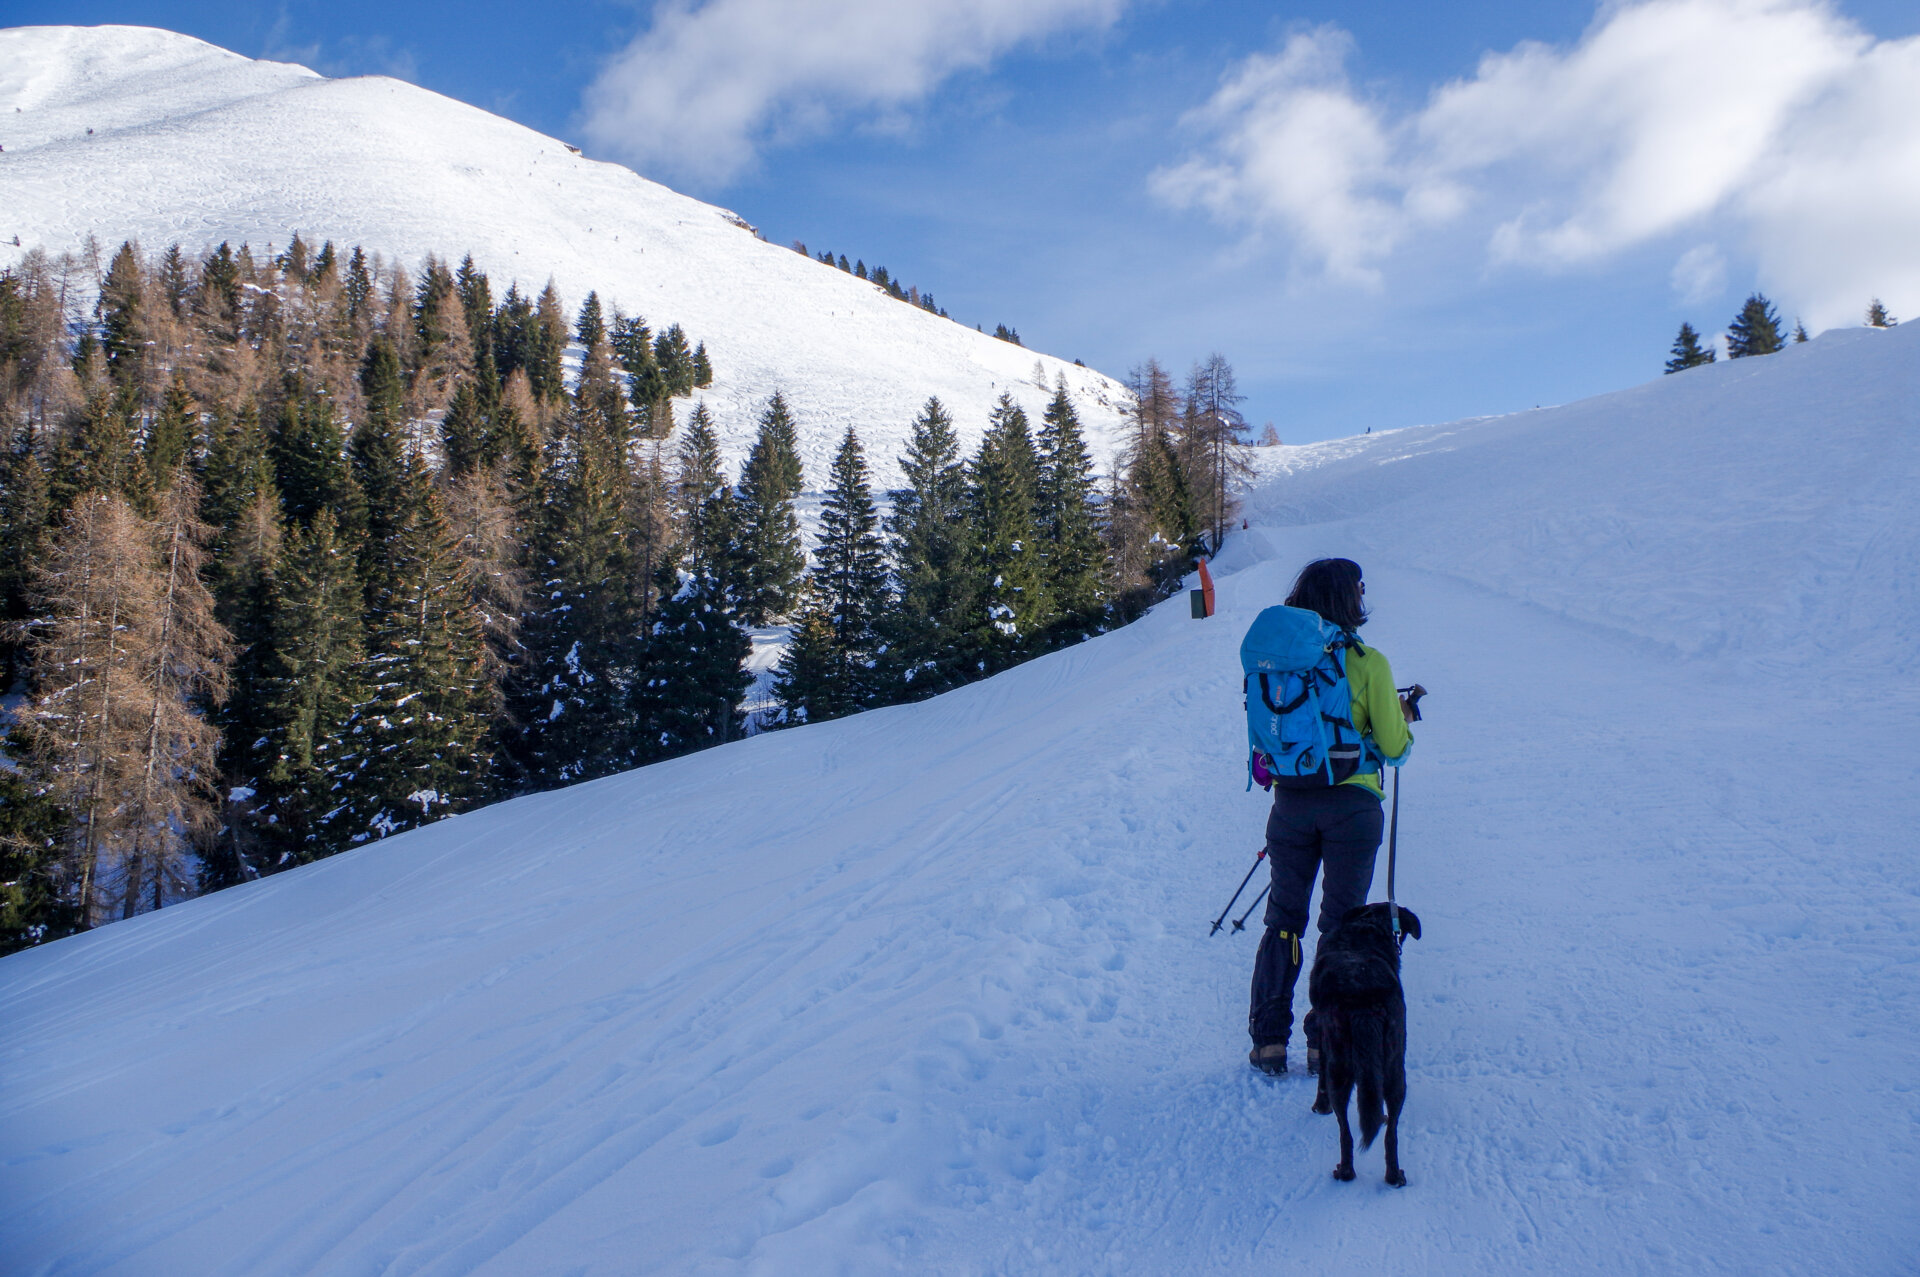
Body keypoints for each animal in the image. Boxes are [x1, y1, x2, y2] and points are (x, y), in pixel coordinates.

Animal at [1313, 894, 1420, 1182]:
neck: (1369, 926)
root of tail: (1364, 997)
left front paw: (1319, 1106)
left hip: (1339, 1066)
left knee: (1346, 1132)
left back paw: (1345, 1171)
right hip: (1395, 1066)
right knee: (1391, 1132)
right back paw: (1394, 1175)